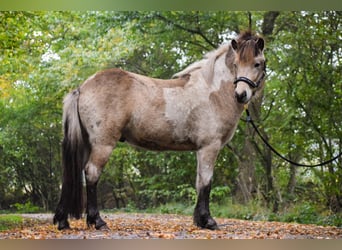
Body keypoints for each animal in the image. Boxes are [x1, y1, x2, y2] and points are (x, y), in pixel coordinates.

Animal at [54, 30, 268, 230]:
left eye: (257, 63)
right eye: (236, 64)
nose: (241, 95)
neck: (213, 91)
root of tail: (82, 87)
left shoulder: (201, 149)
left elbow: (199, 182)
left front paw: (199, 220)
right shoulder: (209, 147)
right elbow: (206, 182)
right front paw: (208, 221)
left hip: (86, 144)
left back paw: (64, 221)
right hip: (103, 144)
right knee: (91, 174)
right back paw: (97, 221)